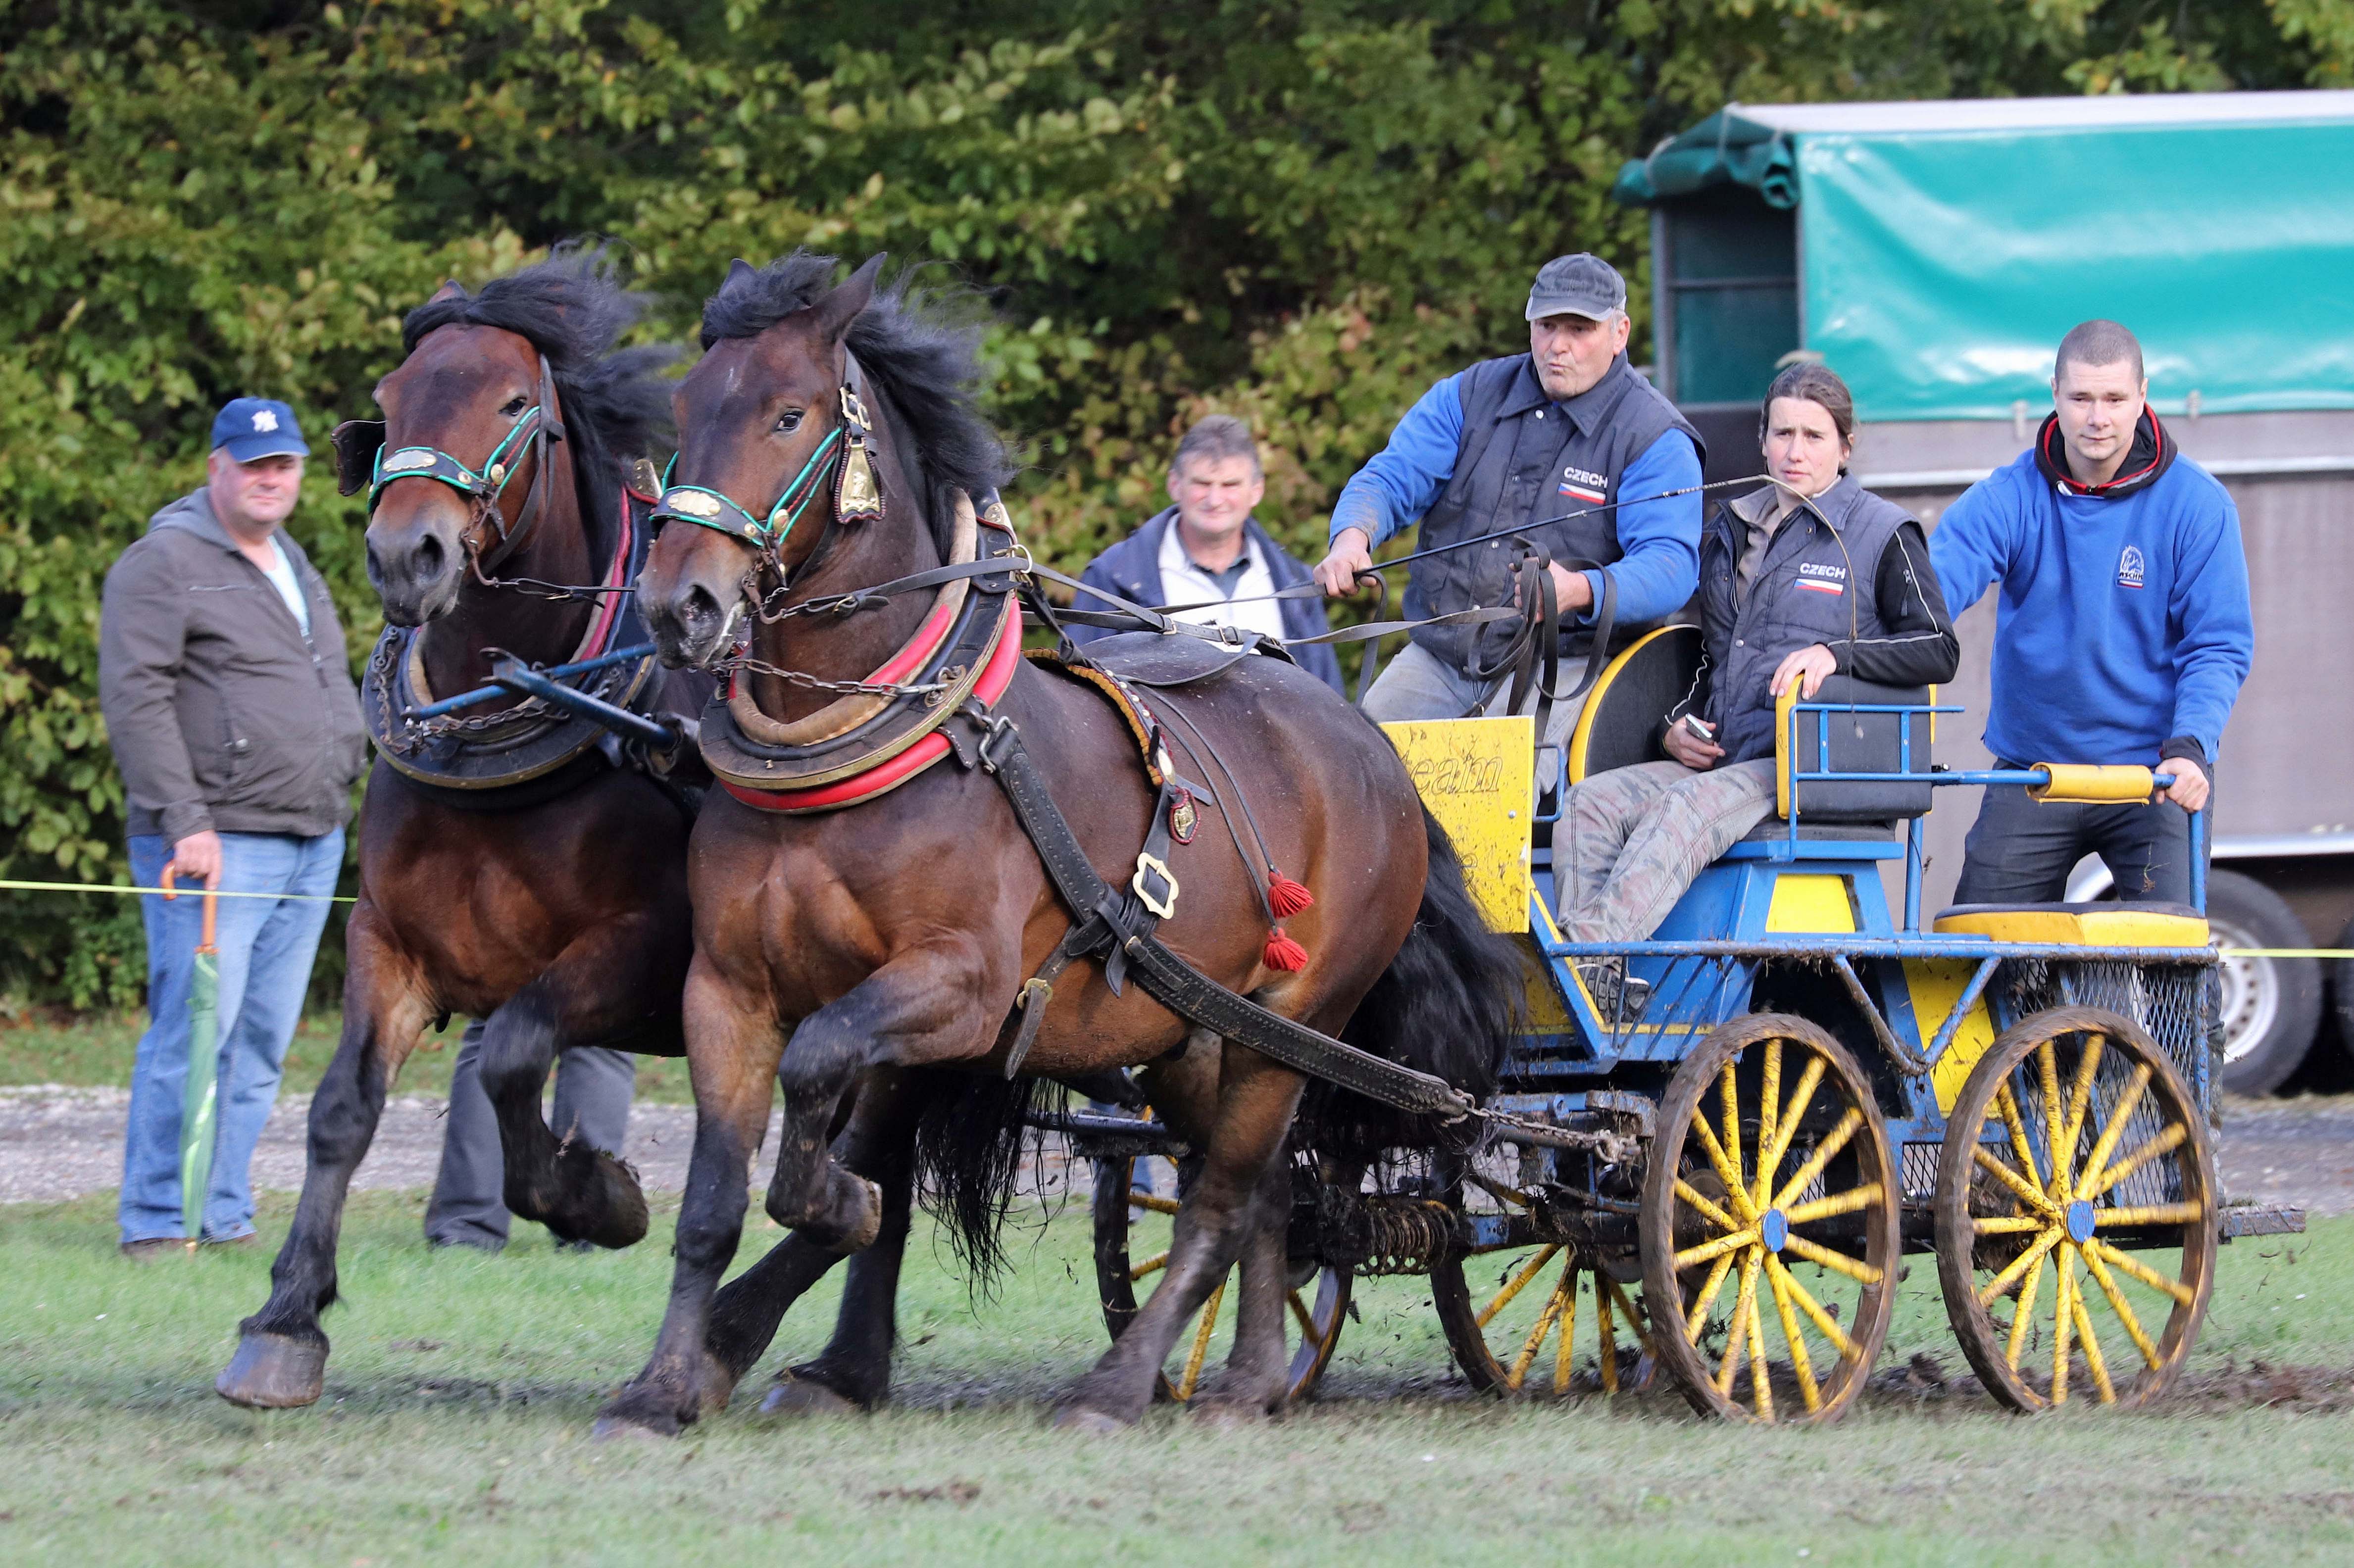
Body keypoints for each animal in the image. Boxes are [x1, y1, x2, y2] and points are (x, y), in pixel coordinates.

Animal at [217, 247, 701, 1403]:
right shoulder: (390, 942)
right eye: (390, 400)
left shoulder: (649, 951)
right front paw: (286, 1316)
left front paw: (595, 1196)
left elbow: (515, 1053)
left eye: (515, 400)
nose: (408, 554)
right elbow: (343, 1106)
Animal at [584, 253, 1506, 1431]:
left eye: (789, 414)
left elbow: (821, 1073)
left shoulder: (960, 987)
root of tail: (1373, 747)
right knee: (1265, 1195)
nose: (679, 604)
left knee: (1220, 1199)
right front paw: (666, 1383)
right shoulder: (728, 989)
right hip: (1193, 1036)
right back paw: (1250, 1379)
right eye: (688, 409)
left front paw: (834, 1205)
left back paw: (1117, 1386)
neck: (870, 751)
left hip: (1293, 1022)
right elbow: (710, 1201)